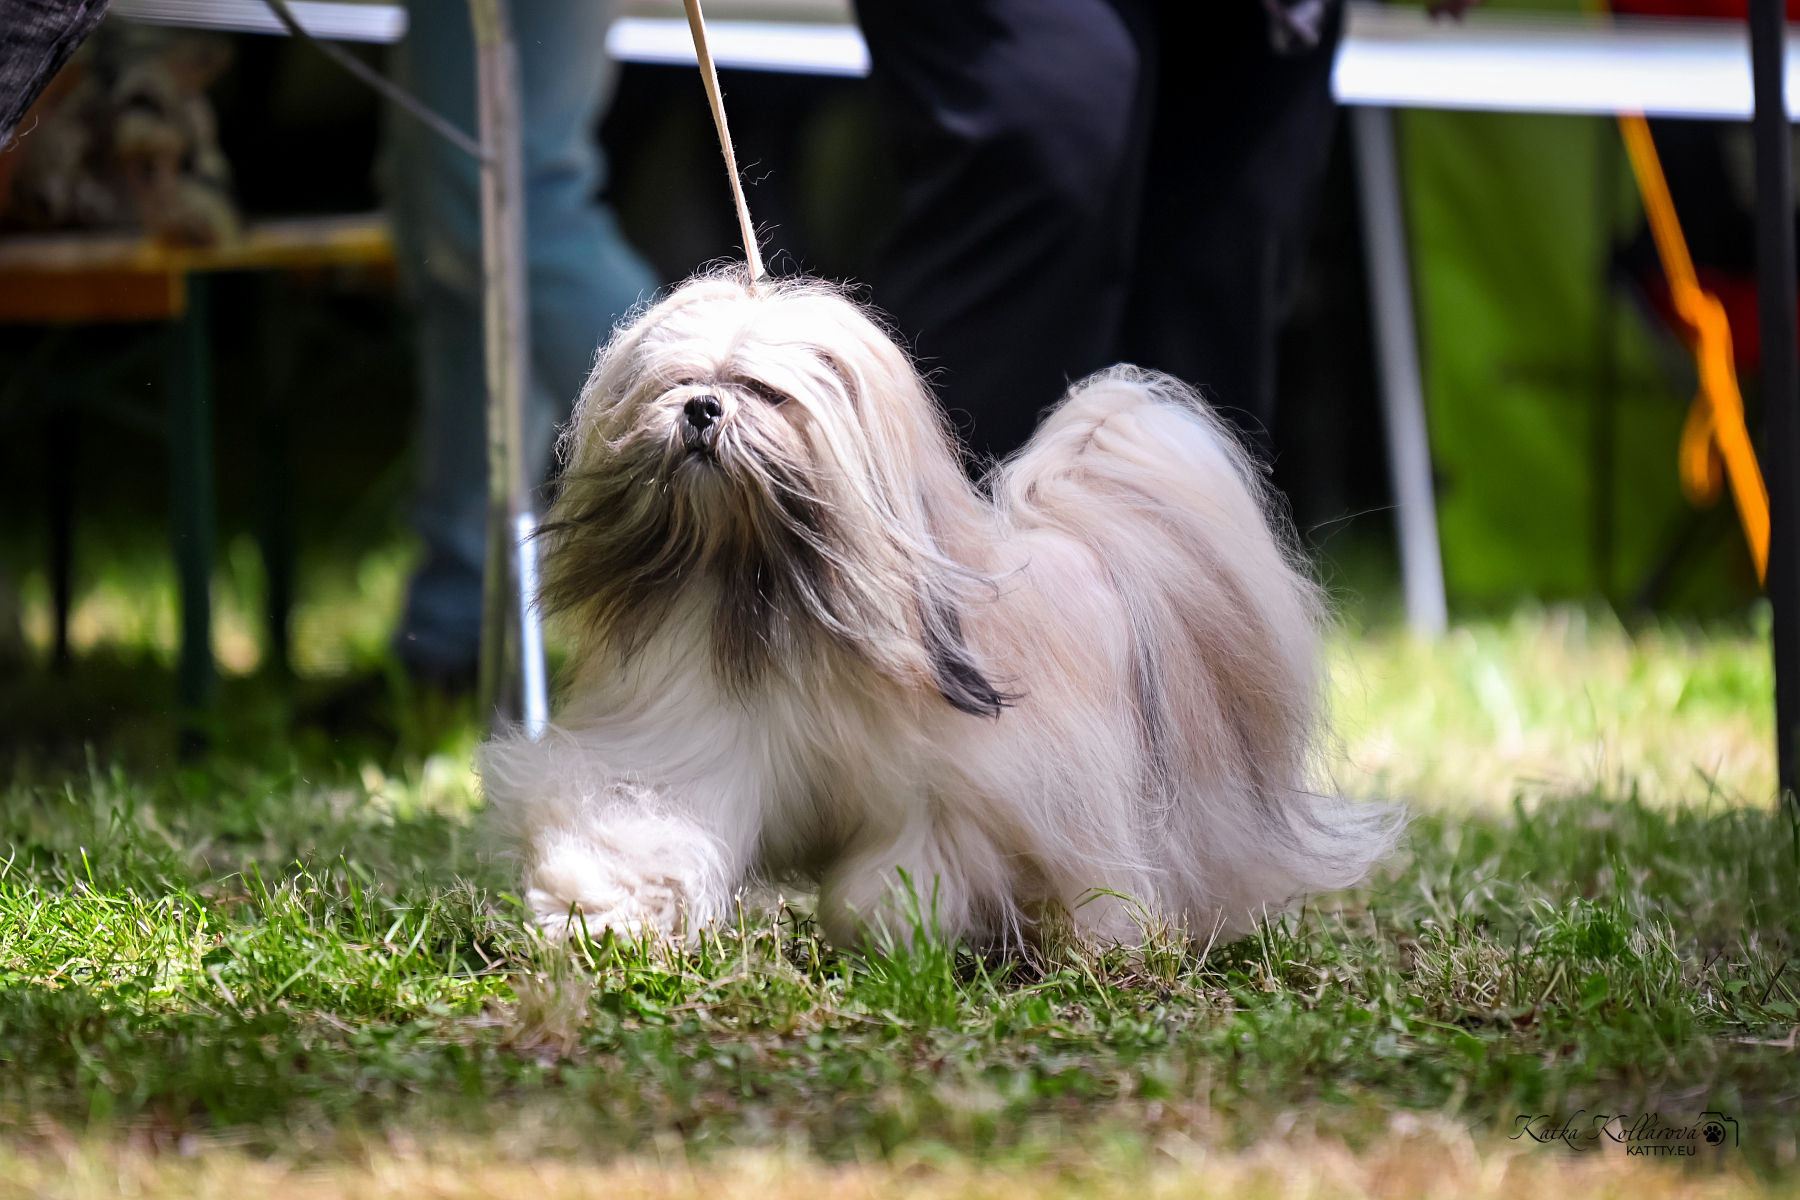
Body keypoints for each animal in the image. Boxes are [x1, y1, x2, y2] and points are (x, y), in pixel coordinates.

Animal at [480, 269, 1398, 948]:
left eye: (765, 392)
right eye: (676, 384)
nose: (702, 409)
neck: (783, 592)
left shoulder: (958, 794)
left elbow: (911, 866)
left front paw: (886, 923)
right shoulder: (687, 744)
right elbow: (640, 827)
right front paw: (598, 912)